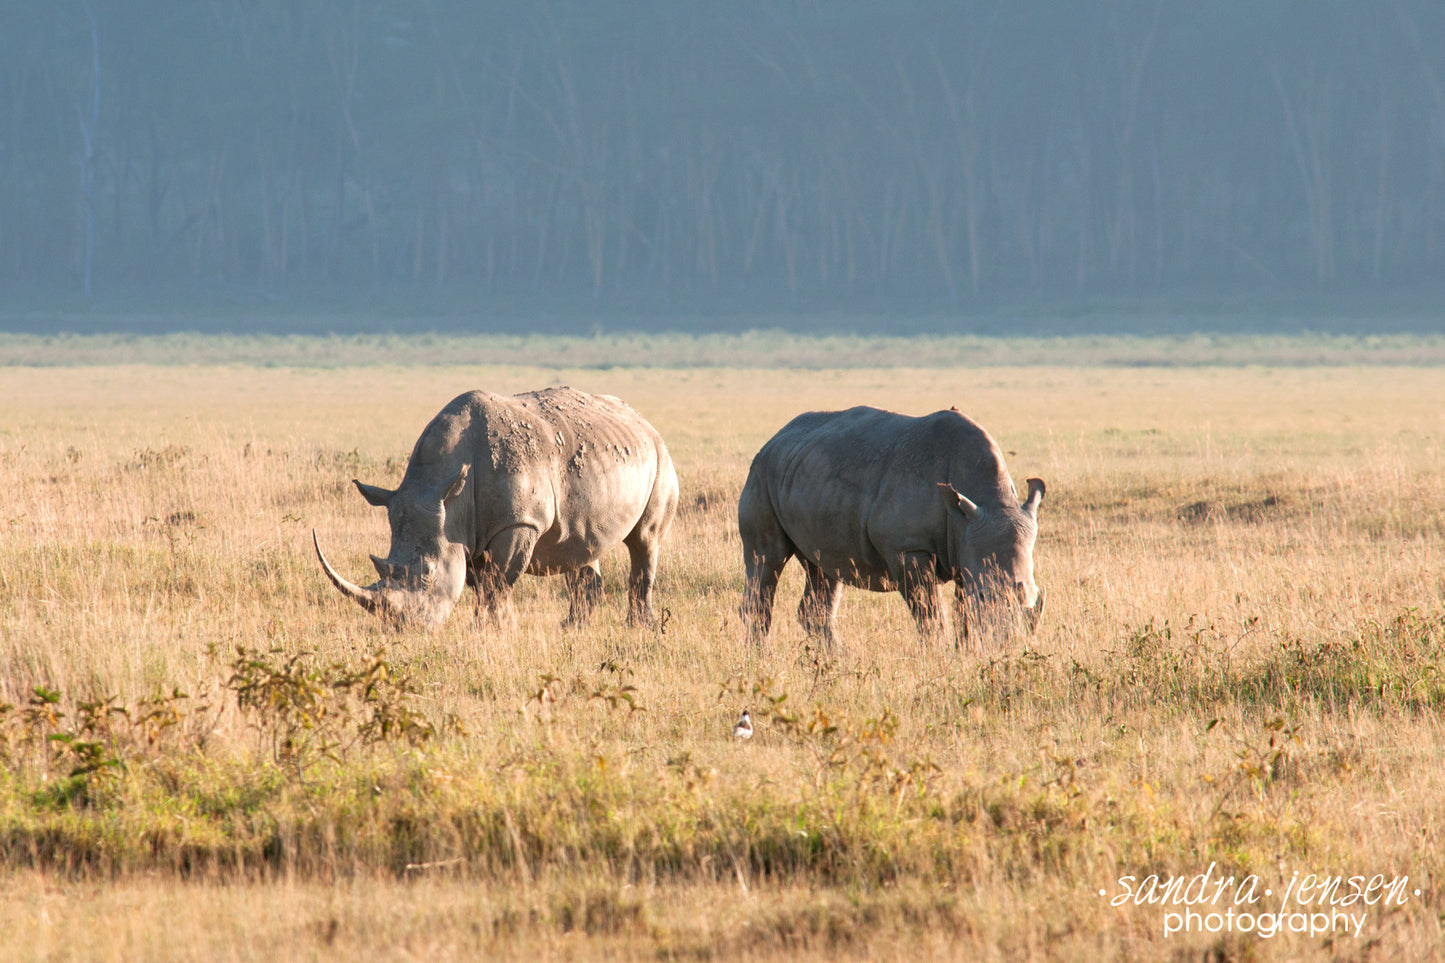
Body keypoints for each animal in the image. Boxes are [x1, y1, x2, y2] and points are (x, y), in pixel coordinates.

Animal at [316, 387, 676, 627]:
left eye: (428, 575)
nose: (404, 629)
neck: (447, 494)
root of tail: (642, 421)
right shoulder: (467, 530)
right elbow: (482, 583)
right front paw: (501, 625)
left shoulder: (519, 522)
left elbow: (498, 582)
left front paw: (491, 628)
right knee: (581, 547)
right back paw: (572, 627)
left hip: (660, 458)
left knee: (644, 541)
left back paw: (640, 627)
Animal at [739, 401, 1046, 647]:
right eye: (985, 595)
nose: (1010, 644)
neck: (987, 498)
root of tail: (774, 438)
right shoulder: (909, 548)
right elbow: (930, 614)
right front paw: (939, 654)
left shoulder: (967, 544)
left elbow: (964, 614)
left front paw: (967, 653)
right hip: (761, 474)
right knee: (767, 559)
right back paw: (760, 658)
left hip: (807, 479)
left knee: (823, 569)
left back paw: (838, 658)